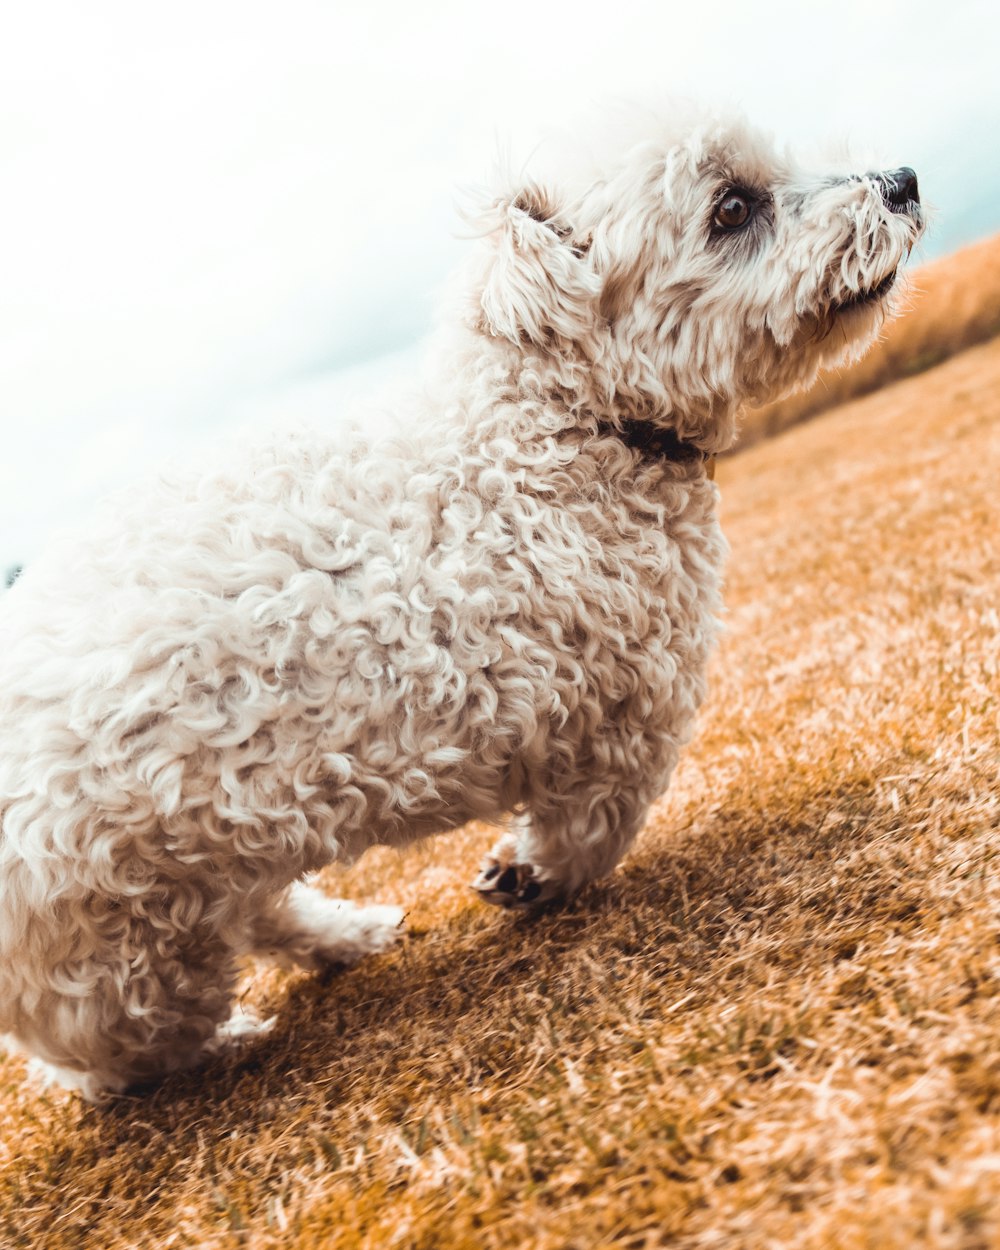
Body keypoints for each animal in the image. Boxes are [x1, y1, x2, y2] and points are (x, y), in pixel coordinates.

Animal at [0, 112, 920, 1100]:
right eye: (732, 209)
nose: (903, 180)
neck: (555, 429)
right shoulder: (621, 721)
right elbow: (596, 830)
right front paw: (531, 877)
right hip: (122, 958)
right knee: (112, 1062)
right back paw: (225, 1043)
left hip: (210, 861)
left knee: (253, 918)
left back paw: (345, 938)